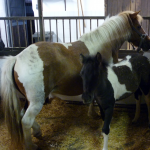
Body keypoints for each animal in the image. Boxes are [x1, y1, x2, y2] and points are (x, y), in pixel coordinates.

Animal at [0, 10, 150, 149]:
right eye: (138, 25)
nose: (147, 42)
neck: (104, 44)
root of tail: (17, 58)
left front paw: (92, 113)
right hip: (37, 101)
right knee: (26, 120)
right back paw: (31, 145)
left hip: (29, 99)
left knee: (22, 114)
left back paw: (37, 131)